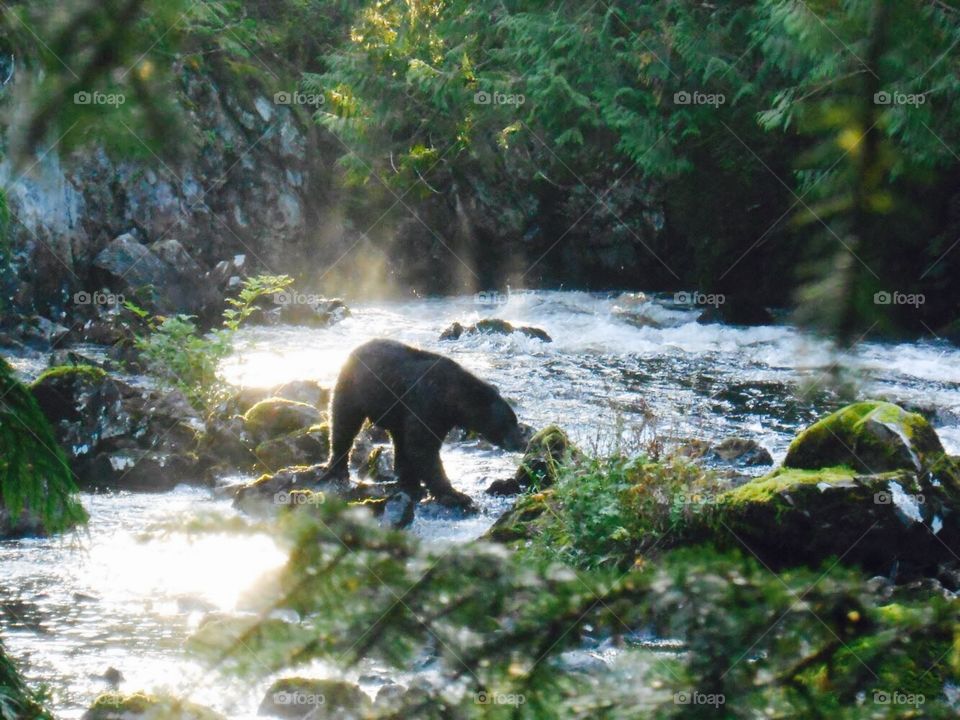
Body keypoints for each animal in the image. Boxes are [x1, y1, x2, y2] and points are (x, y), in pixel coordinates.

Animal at [321, 339, 530, 509]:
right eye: (509, 422)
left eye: (515, 421)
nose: (521, 443)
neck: (452, 399)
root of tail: (356, 348)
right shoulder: (427, 405)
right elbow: (422, 449)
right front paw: (456, 495)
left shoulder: (439, 418)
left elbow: (416, 447)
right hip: (353, 389)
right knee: (344, 424)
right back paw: (338, 468)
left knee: (399, 439)